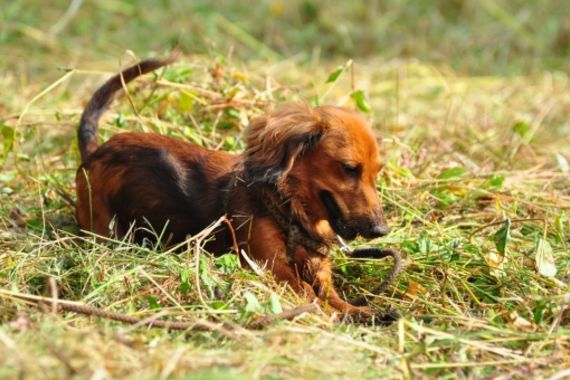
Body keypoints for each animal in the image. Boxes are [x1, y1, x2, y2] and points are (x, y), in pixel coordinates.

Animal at [75, 55, 388, 318]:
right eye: (349, 169)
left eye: (377, 172)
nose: (381, 230)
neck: (286, 211)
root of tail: (95, 152)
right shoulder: (271, 268)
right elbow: (310, 295)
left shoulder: (317, 269)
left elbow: (333, 298)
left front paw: (364, 313)